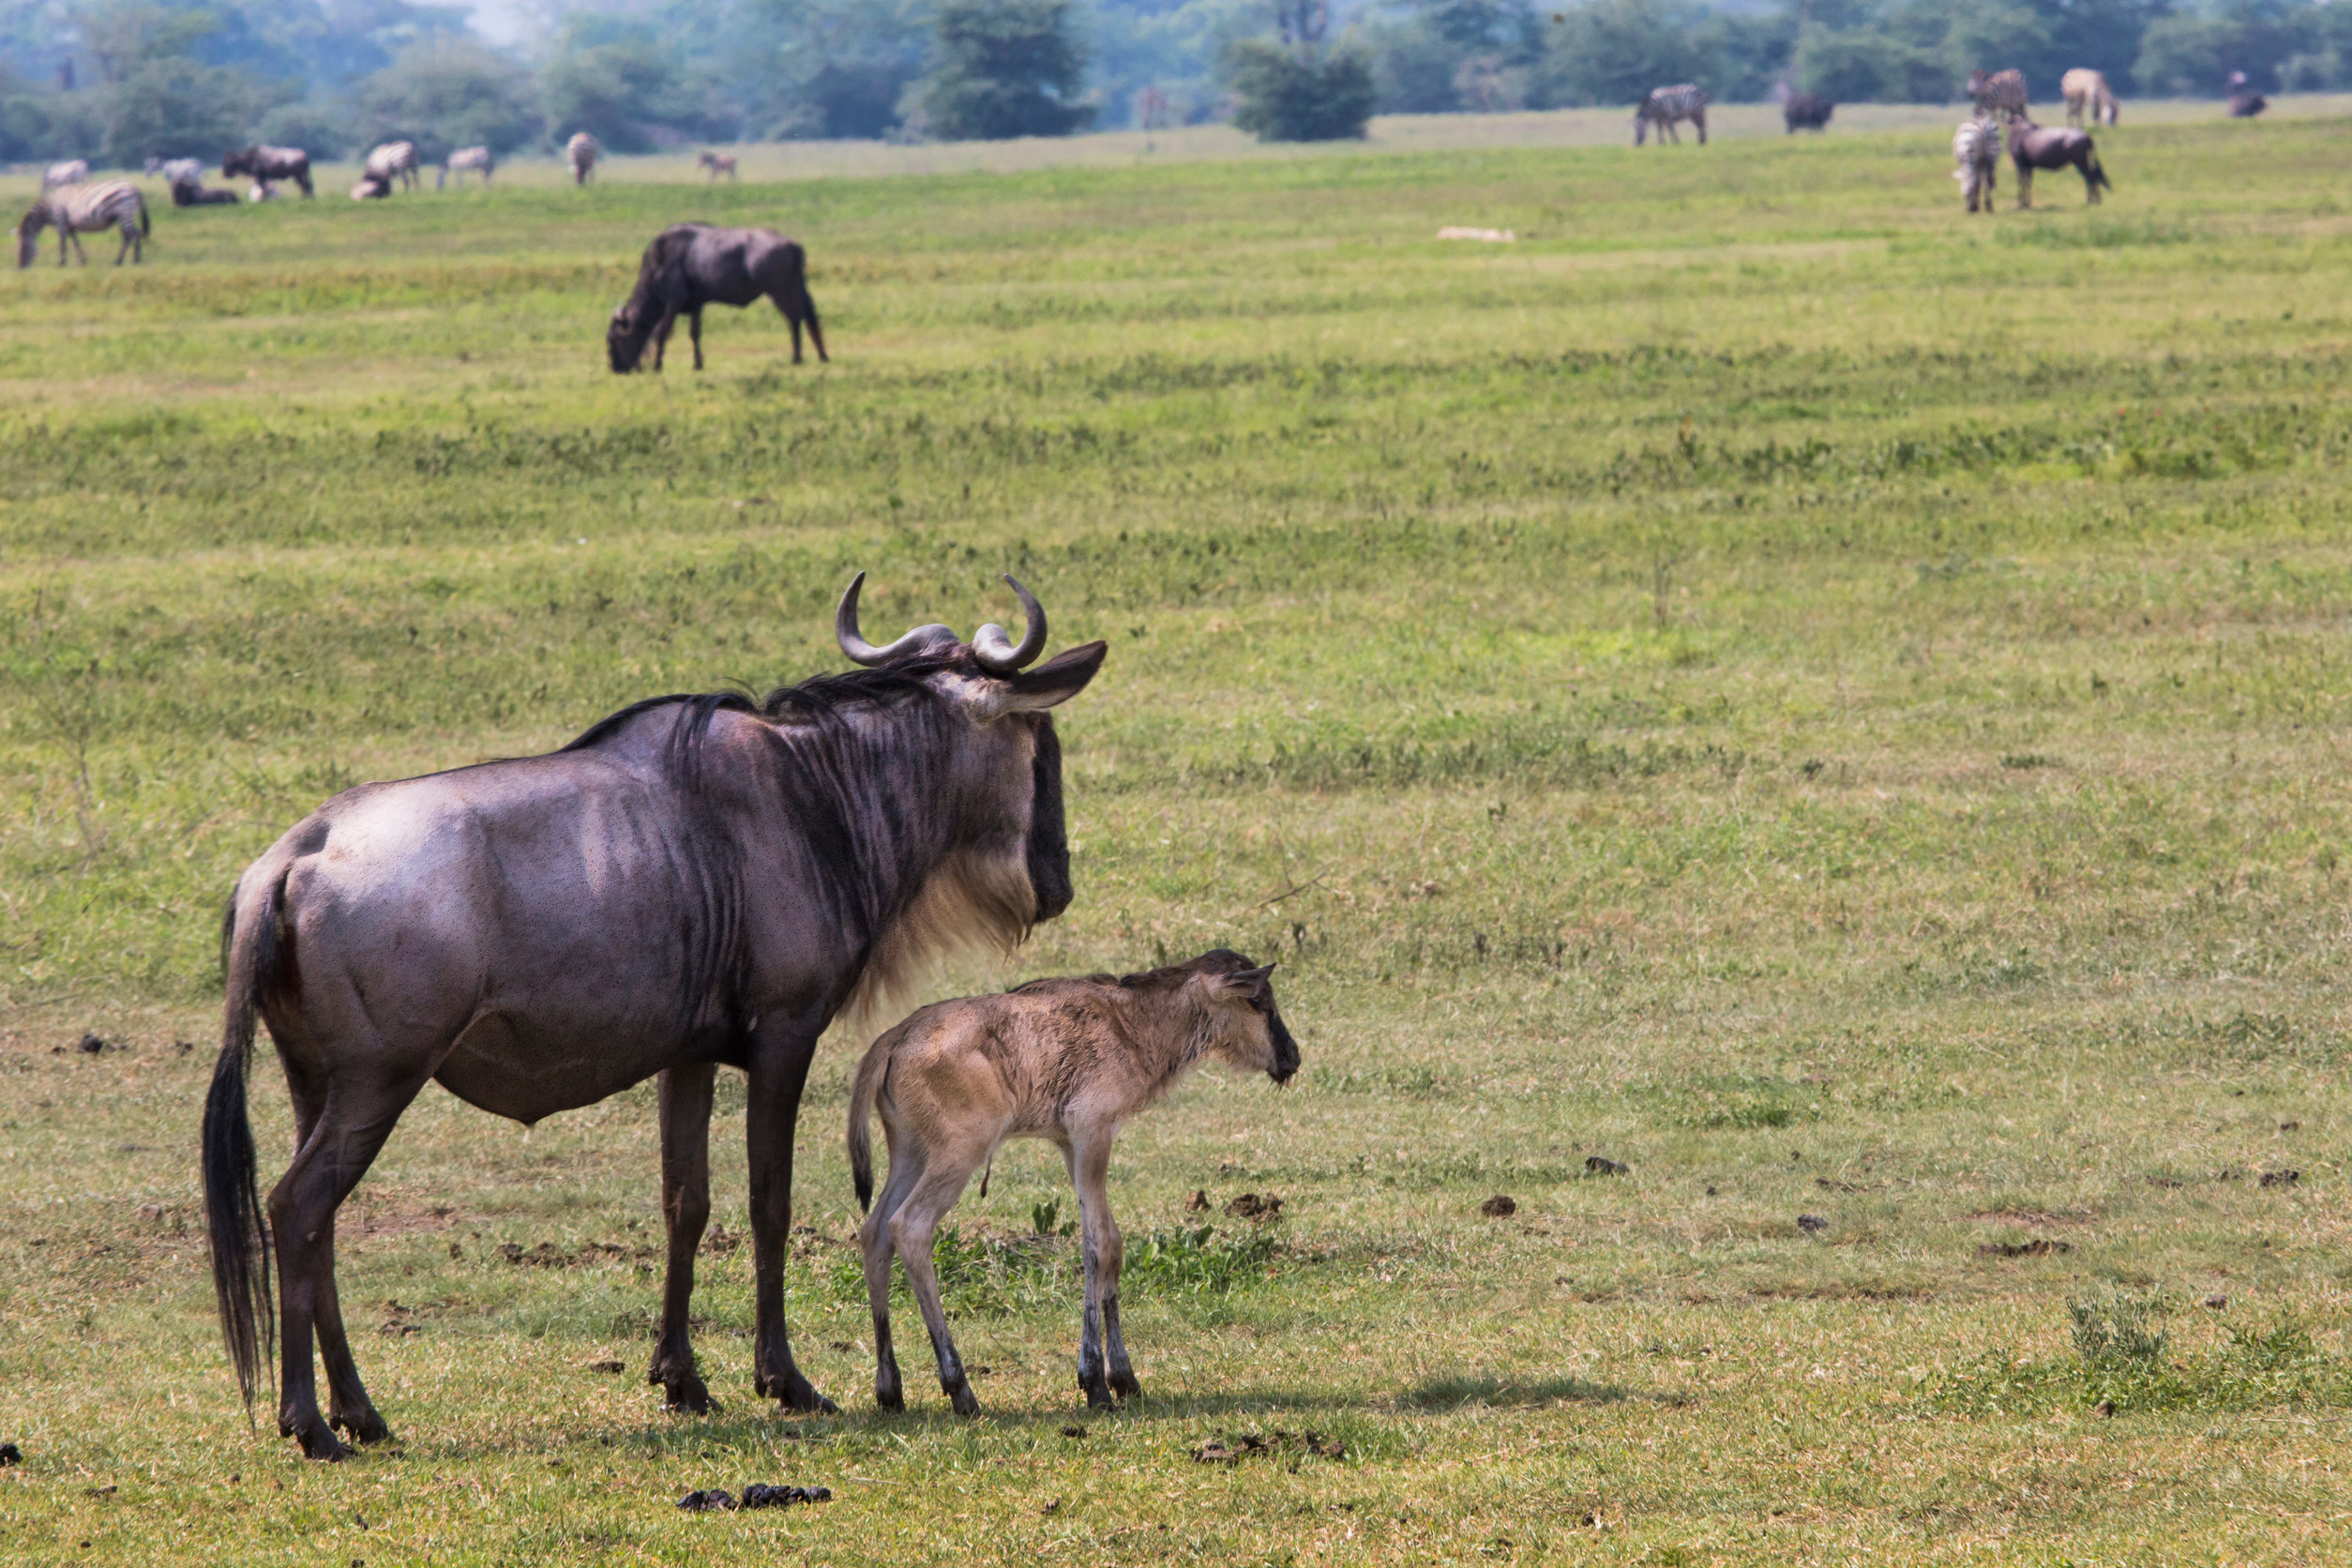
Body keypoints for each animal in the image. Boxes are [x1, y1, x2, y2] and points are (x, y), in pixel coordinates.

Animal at [16, 183, 149, 271]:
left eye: (24, 246)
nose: (21, 268)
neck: (49, 208)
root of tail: (135, 189)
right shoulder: (70, 227)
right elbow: (76, 243)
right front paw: (83, 261)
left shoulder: (61, 222)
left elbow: (62, 245)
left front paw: (61, 264)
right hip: (122, 216)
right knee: (129, 236)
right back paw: (122, 261)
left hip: (124, 213)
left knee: (134, 234)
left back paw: (133, 260)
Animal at [851, 949, 1307, 1420]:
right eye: (1259, 1003)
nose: (1292, 1056)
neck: (1134, 1021)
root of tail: (896, 1036)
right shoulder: (1093, 1133)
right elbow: (1096, 1246)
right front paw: (1095, 1382)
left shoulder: (1071, 1145)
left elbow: (1114, 1242)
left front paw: (1123, 1376)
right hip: (959, 1153)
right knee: (909, 1227)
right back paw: (960, 1389)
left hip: (910, 1154)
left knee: (874, 1233)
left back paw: (890, 1389)